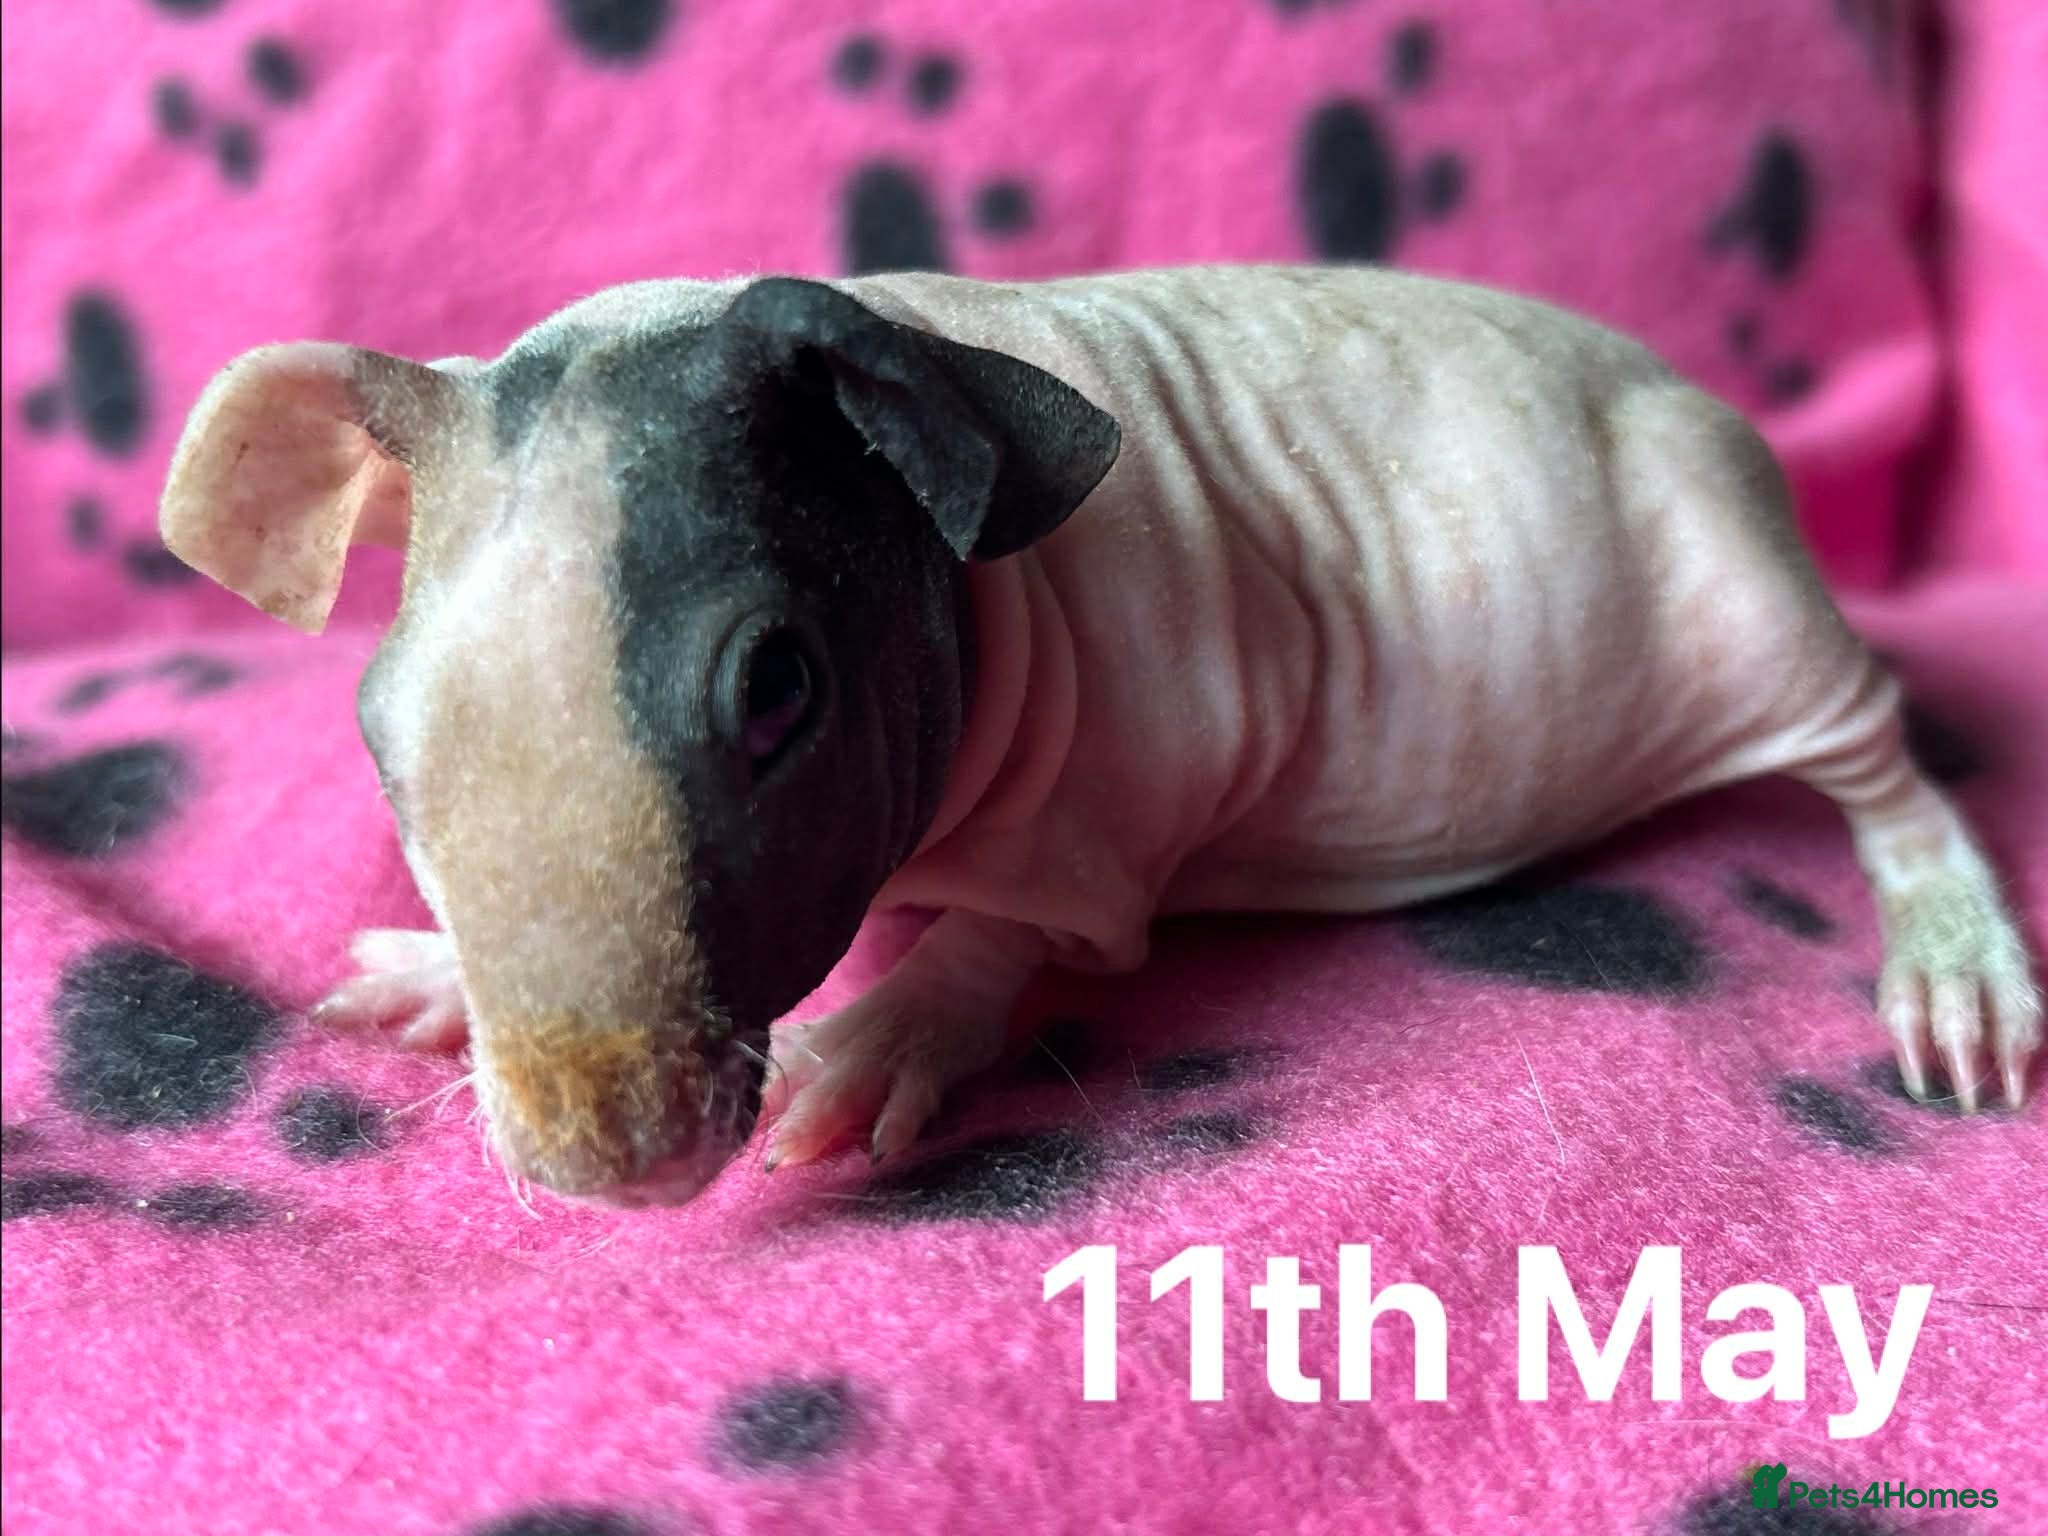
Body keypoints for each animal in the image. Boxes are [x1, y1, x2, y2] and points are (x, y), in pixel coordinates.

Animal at [158, 266, 2041, 1207]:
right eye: (380, 733)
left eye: (775, 693)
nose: (600, 1165)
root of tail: (1700, 398)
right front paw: (433, 976)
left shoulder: (1124, 782)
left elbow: (1022, 935)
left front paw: (875, 1035)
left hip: (1745, 593)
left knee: (1881, 766)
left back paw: (1950, 958)